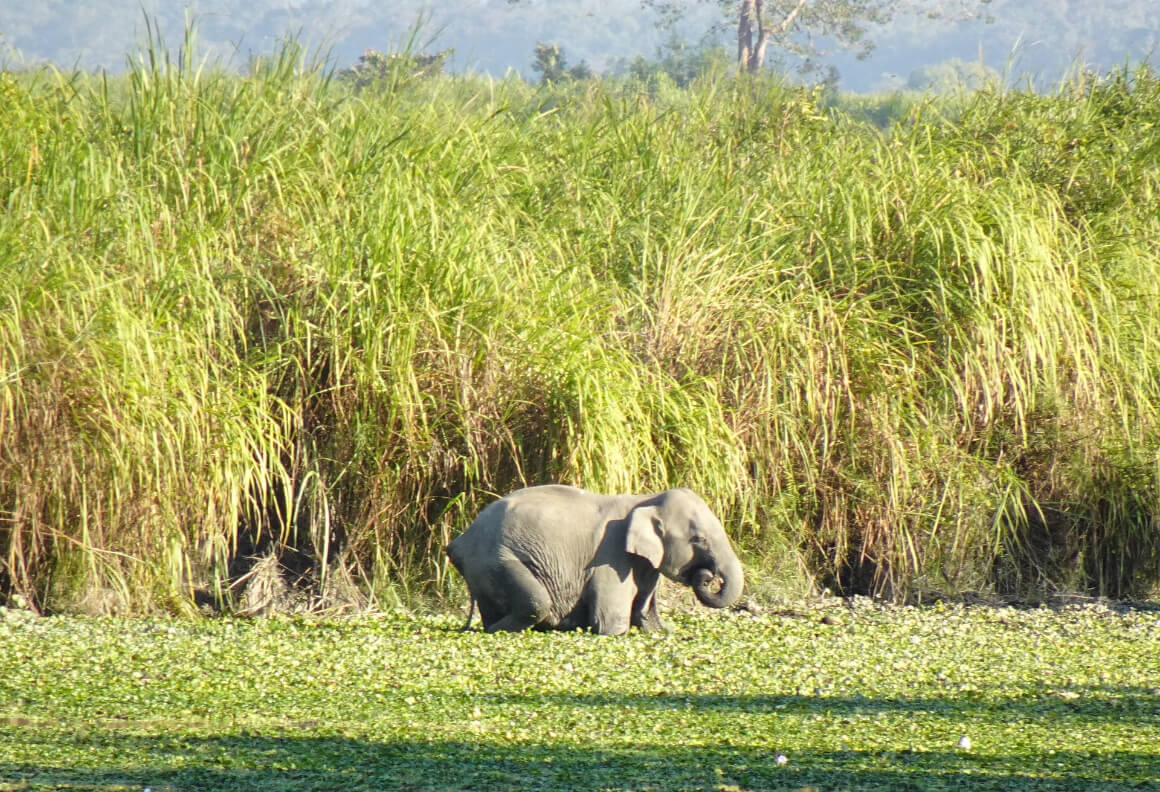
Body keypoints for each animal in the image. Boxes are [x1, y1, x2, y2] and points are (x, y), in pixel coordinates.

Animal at [443, 482, 742, 640]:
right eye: (699, 539)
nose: (707, 576)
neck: (646, 499)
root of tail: (460, 541)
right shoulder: (610, 559)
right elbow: (610, 624)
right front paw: (614, 631)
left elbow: (646, 610)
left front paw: (665, 630)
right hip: (497, 560)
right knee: (535, 603)